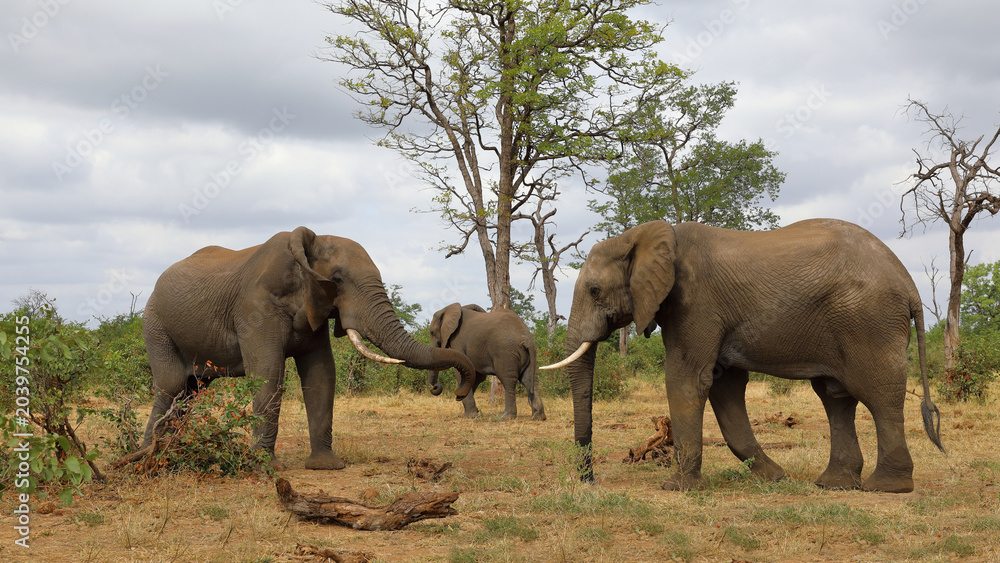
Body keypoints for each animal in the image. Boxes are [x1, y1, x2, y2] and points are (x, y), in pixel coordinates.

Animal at [141, 227, 476, 470]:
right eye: (337, 280)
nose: (456, 392)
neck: (301, 253)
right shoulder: (255, 308)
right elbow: (268, 374)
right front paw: (266, 468)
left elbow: (321, 374)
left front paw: (326, 466)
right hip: (155, 324)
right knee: (172, 386)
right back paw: (148, 455)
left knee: (191, 391)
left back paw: (164, 452)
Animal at [543, 218, 944, 493]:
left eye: (594, 291)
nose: (590, 480)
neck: (644, 236)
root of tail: (909, 283)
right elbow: (724, 387)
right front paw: (774, 478)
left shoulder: (695, 304)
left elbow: (688, 380)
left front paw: (676, 488)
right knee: (836, 397)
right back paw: (834, 484)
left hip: (868, 320)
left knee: (878, 395)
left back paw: (887, 487)